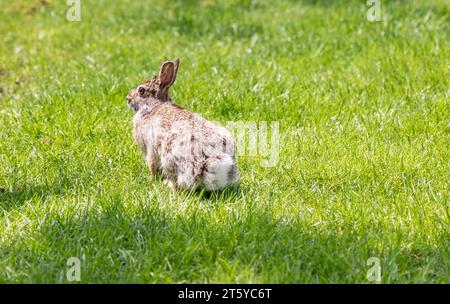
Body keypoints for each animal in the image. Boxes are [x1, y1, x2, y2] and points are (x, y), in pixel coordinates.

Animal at [126, 58, 239, 191]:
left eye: (141, 90)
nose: (128, 98)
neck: (153, 106)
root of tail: (214, 163)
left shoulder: (150, 149)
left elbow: (152, 165)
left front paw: (151, 179)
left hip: (170, 156)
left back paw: (167, 185)